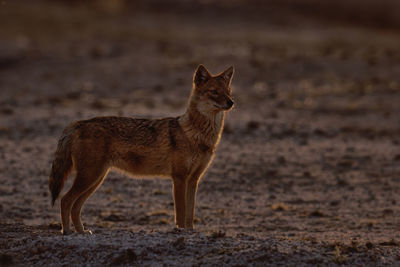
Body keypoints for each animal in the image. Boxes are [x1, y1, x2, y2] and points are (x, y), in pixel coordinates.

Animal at [48, 65, 234, 234]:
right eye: (214, 91)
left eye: (228, 92)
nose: (231, 102)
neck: (198, 135)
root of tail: (77, 123)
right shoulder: (179, 178)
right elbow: (181, 212)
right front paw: (181, 230)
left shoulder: (194, 179)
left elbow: (190, 212)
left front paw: (190, 231)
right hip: (90, 177)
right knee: (65, 200)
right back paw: (67, 231)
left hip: (96, 179)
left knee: (75, 206)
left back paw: (82, 232)